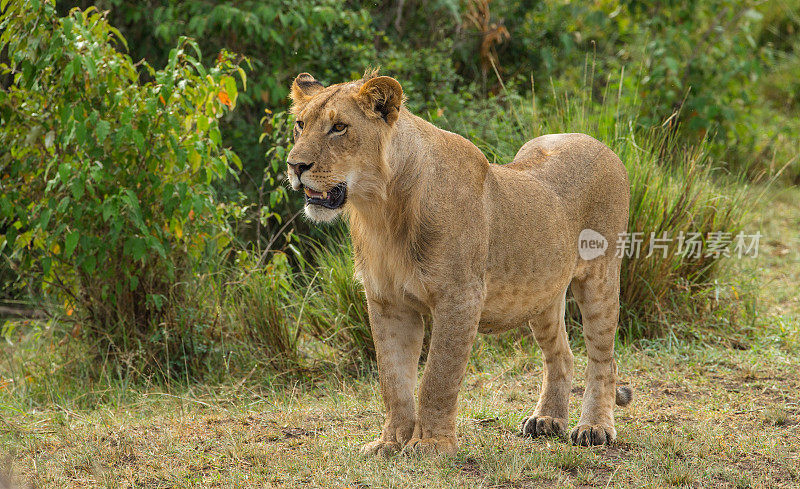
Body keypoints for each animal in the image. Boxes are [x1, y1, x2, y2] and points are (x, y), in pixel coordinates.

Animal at [286, 68, 632, 454]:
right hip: (541, 293)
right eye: (300, 124)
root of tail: (597, 142)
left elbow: (438, 376)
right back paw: (547, 420)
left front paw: (431, 445)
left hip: (600, 276)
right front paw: (390, 442)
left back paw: (594, 427)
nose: (295, 166)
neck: (382, 209)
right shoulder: (387, 302)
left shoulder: (460, 297)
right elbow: (393, 379)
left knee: (604, 358)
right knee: (562, 354)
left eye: (339, 127)